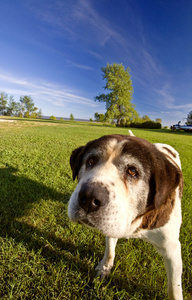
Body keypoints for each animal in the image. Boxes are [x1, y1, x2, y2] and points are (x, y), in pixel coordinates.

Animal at [68, 131, 184, 300]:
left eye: (132, 171)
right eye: (90, 161)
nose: (89, 198)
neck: (135, 221)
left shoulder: (172, 248)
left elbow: (174, 287)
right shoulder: (112, 221)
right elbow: (110, 250)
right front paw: (104, 267)